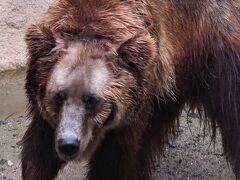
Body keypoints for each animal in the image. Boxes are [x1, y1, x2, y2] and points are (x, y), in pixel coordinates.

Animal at [21, 0, 240, 179]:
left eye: (92, 99)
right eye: (58, 96)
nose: (68, 144)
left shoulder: (131, 112)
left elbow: (116, 162)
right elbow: (38, 152)